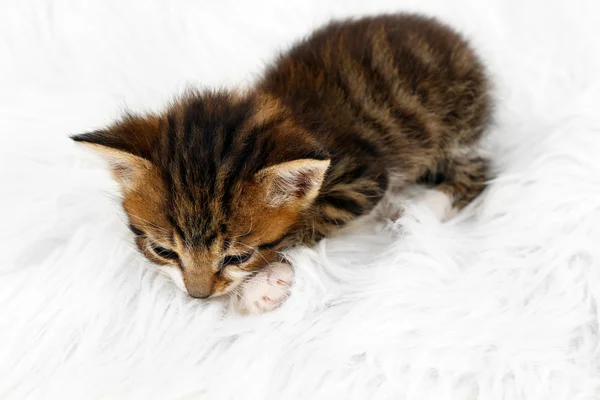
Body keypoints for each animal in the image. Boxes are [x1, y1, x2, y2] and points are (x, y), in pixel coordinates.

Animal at [72, 14, 490, 314]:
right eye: (163, 251)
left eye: (238, 257)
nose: (198, 297)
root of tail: (456, 42)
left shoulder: (361, 175)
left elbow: (307, 223)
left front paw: (263, 283)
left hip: (454, 126)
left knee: (478, 170)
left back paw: (421, 206)